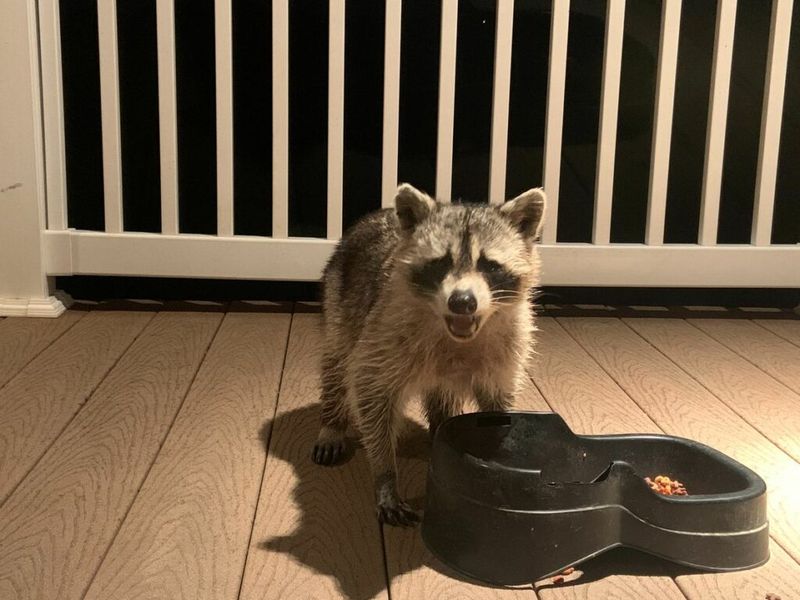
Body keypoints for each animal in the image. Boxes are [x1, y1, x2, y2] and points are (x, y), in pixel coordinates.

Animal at [312, 183, 546, 526]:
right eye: (441, 263)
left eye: (490, 265)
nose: (462, 301)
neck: (456, 334)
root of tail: (376, 215)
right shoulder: (383, 334)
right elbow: (371, 395)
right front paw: (385, 475)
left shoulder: (509, 347)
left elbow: (497, 403)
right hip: (339, 300)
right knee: (337, 365)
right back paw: (332, 423)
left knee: (443, 395)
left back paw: (439, 431)